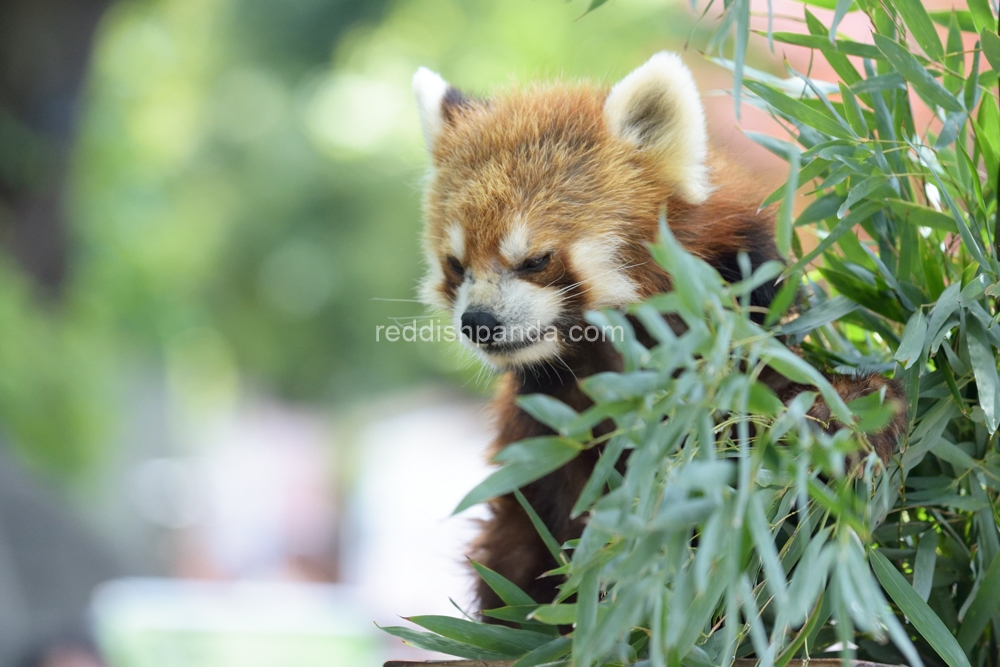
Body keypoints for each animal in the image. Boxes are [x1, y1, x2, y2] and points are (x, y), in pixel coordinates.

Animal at [410, 53, 904, 620]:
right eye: (457, 266)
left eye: (535, 260)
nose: (479, 322)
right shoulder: (545, 430)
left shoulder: (752, 311)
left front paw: (844, 412)